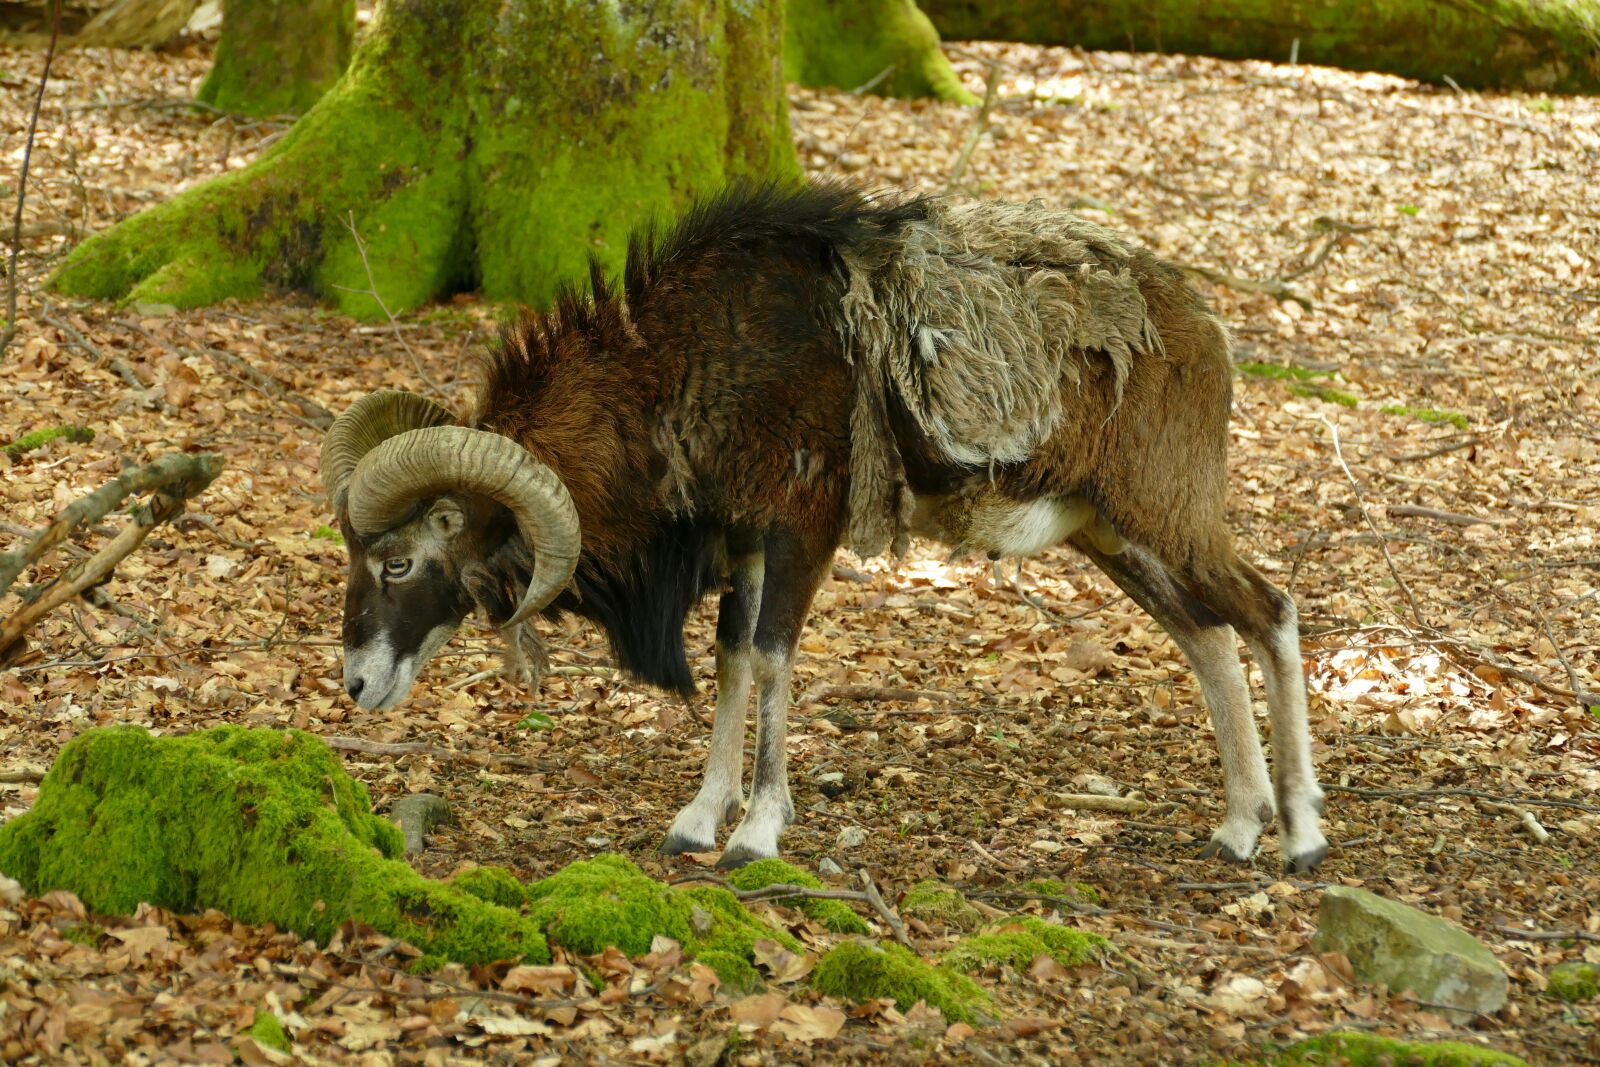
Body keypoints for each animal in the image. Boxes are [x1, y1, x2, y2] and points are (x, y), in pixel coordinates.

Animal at [322, 181, 1329, 873]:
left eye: (400, 561)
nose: (358, 684)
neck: (682, 366)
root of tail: (1201, 325)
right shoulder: (742, 540)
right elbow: (733, 659)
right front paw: (698, 822)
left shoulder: (802, 527)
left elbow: (772, 658)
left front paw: (757, 834)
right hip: (1111, 536)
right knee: (1207, 638)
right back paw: (1237, 830)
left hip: (1163, 513)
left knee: (1270, 612)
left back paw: (1301, 837)